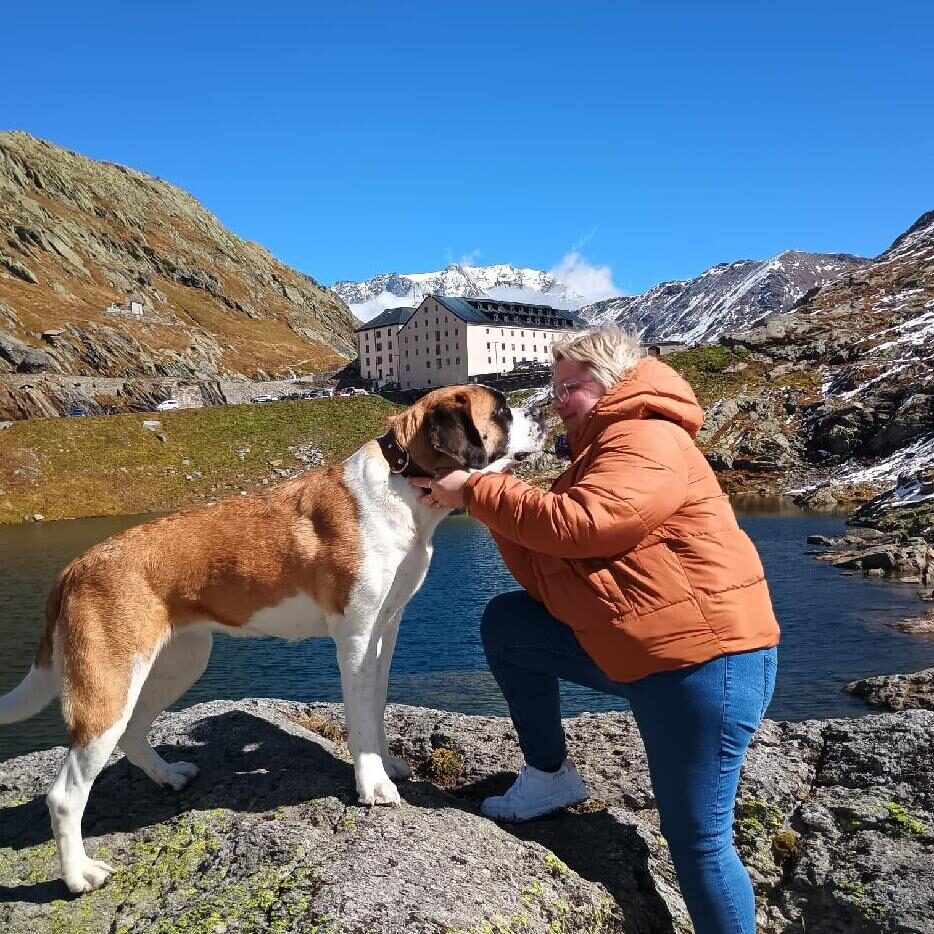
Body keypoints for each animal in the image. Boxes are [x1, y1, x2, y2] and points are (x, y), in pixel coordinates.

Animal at [0, 385, 545, 893]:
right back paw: (78, 876)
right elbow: (358, 715)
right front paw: (373, 785)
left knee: (133, 733)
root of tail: (75, 566)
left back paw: (168, 776)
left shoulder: (386, 629)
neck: (403, 482)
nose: (540, 417)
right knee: (65, 794)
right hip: (109, 683)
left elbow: (376, 703)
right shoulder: (356, 635)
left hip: (180, 661)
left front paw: (387, 764)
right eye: (501, 411)